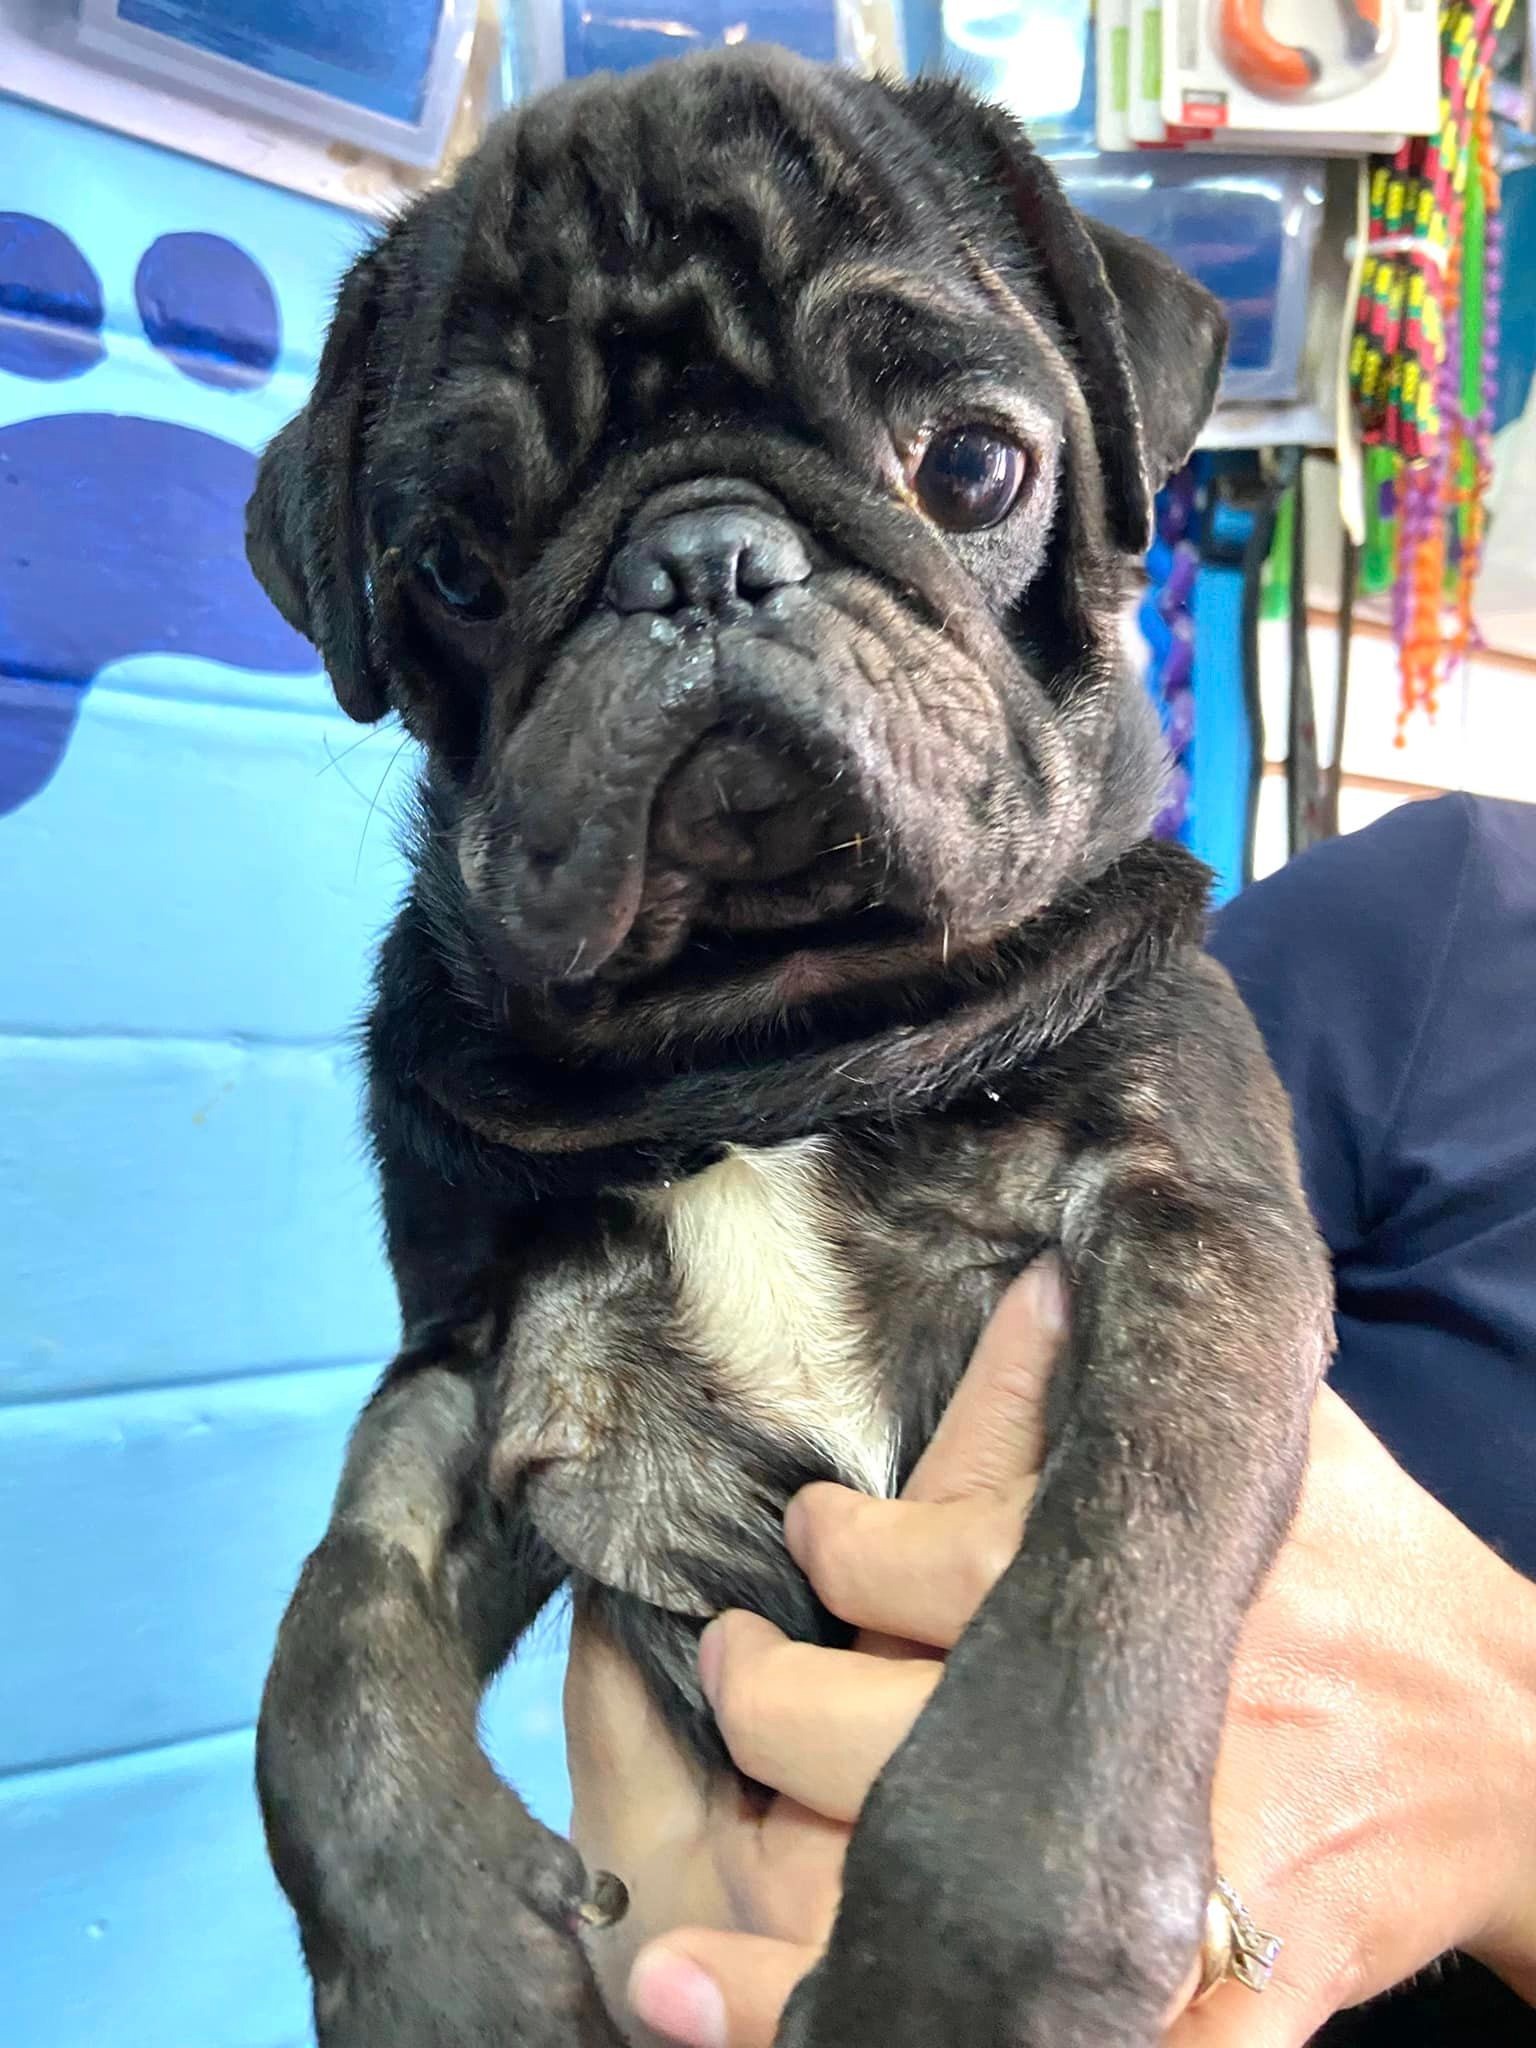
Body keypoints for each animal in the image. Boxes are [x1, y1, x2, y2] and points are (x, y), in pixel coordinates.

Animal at [246, 44, 1327, 2048]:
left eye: (972, 463)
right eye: (456, 564)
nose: (701, 560)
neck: (768, 1037)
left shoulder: (1195, 1240)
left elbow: (1088, 1604)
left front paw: (955, 1976)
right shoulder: (478, 1364)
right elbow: (334, 1624)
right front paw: (439, 1955)